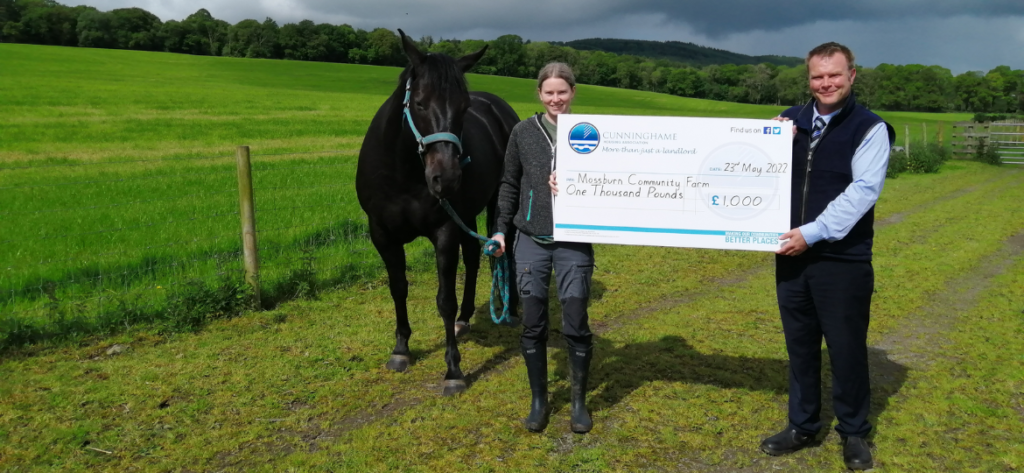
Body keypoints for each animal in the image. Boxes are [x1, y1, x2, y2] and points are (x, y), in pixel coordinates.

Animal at [358, 30, 520, 395]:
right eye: (419, 103)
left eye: (464, 107)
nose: (446, 178)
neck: (403, 173)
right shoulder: (382, 234)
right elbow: (398, 288)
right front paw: (401, 349)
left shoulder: (444, 231)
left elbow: (445, 299)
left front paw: (453, 371)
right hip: (468, 213)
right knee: (474, 257)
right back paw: (465, 318)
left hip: (497, 202)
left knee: (507, 252)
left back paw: (513, 308)